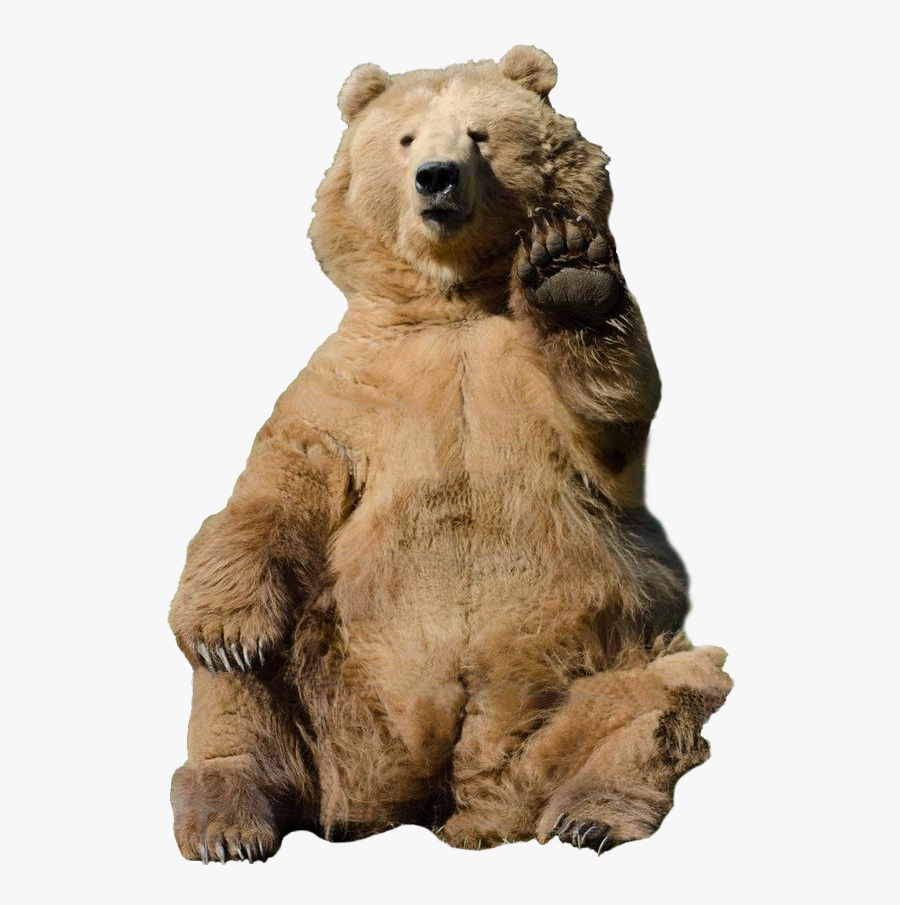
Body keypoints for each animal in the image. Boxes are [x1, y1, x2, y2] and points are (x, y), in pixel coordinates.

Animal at [169, 45, 732, 863]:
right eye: (406, 139)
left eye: (479, 134)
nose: (435, 177)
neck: (454, 301)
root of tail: (445, 797)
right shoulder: (354, 387)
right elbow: (279, 483)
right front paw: (224, 631)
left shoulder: (529, 383)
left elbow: (611, 413)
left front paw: (570, 271)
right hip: (336, 689)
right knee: (247, 682)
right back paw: (229, 815)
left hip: (600, 659)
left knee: (667, 689)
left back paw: (588, 814)